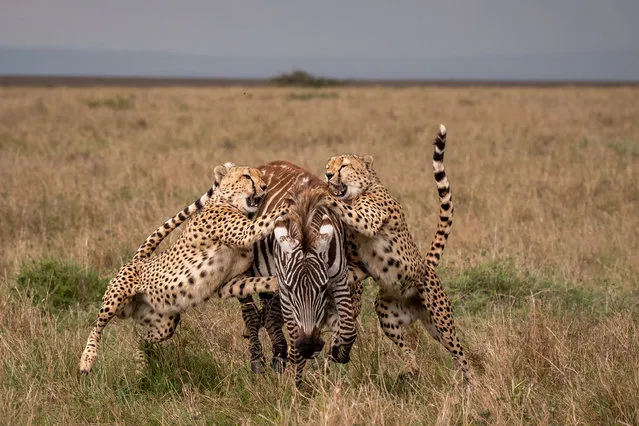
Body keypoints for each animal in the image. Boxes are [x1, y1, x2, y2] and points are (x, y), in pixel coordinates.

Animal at [79, 162, 288, 372]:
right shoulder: (245, 232)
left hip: (165, 324)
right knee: (97, 326)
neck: (229, 202)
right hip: (115, 299)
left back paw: (141, 366)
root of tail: (138, 260)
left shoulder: (229, 283)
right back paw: (87, 359)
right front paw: (289, 204)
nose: (264, 187)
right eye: (247, 176)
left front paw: (277, 282)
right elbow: (267, 218)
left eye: (262, 176)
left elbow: (257, 282)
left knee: (140, 338)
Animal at [219, 161, 360, 386]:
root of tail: (264, 166)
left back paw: (278, 356)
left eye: (323, 288)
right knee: (251, 315)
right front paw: (295, 386)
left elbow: (348, 326)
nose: (309, 346)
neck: (305, 219)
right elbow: (294, 337)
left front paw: (339, 352)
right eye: (292, 290)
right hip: (244, 271)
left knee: (270, 318)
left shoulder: (339, 278)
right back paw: (258, 360)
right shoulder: (283, 287)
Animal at [324, 125, 470, 382]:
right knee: (408, 347)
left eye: (343, 165)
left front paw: (316, 191)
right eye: (329, 164)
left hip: (441, 321)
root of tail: (426, 265)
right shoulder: (356, 262)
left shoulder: (365, 221)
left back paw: (472, 383)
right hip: (388, 312)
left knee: (461, 354)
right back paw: (410, 368)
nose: (328, 175)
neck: (362, 189)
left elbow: (341, 206)